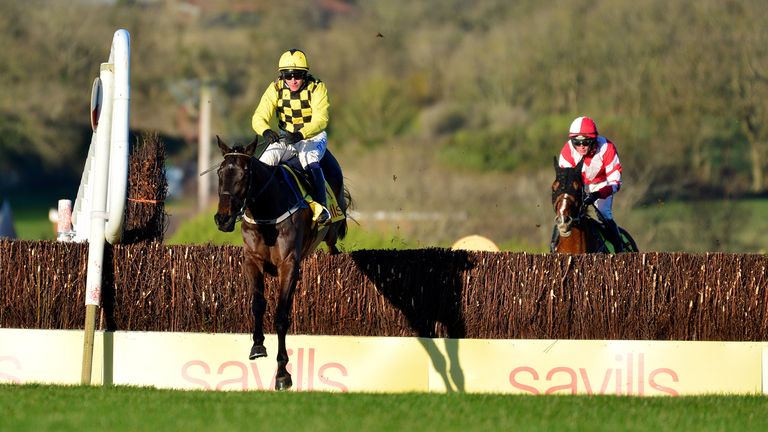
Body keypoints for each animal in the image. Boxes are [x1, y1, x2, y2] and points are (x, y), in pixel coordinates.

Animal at [214, 136, 350, 392]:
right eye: (219, 172)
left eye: (244, 174)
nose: (223, 218)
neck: (267, 210)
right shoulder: (252, 261)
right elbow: (257, 304)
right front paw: (257, 346)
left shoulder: (289, 265)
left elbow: (281, 316)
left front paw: (282, 373)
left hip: (332, 230)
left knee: (333, 244)